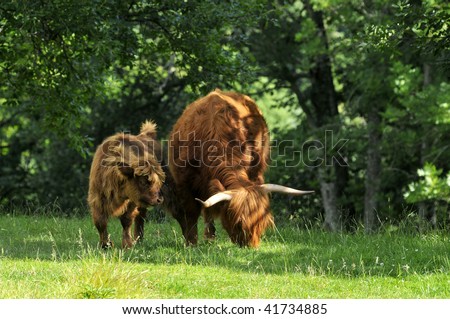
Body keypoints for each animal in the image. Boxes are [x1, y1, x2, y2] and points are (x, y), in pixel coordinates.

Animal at [88, 121, 165, 249]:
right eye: (142, 182)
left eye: (157, 182)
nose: (159, 199)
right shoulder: (97, 198)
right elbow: (100, 221)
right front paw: (105, 244)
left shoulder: (132, 201)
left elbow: (126, 220)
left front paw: (127, 244)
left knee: (140, 217)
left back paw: (139, 239)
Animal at [166, 90, 312, 248]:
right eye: (238, 223)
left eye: (261, 223)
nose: (251, 246)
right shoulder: (184, 181)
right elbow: (191, 212)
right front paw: (191, 243)